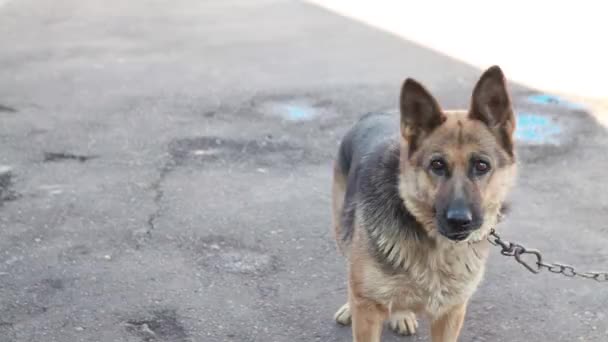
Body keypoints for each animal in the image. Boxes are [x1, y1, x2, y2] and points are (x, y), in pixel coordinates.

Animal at [330, 65, 516, 342]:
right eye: (437, 165)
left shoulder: (450, 314)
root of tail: (373, 114)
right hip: (342, 231)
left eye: (482, 166)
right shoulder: (368, 311)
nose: (459, 221)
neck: (438, 250)